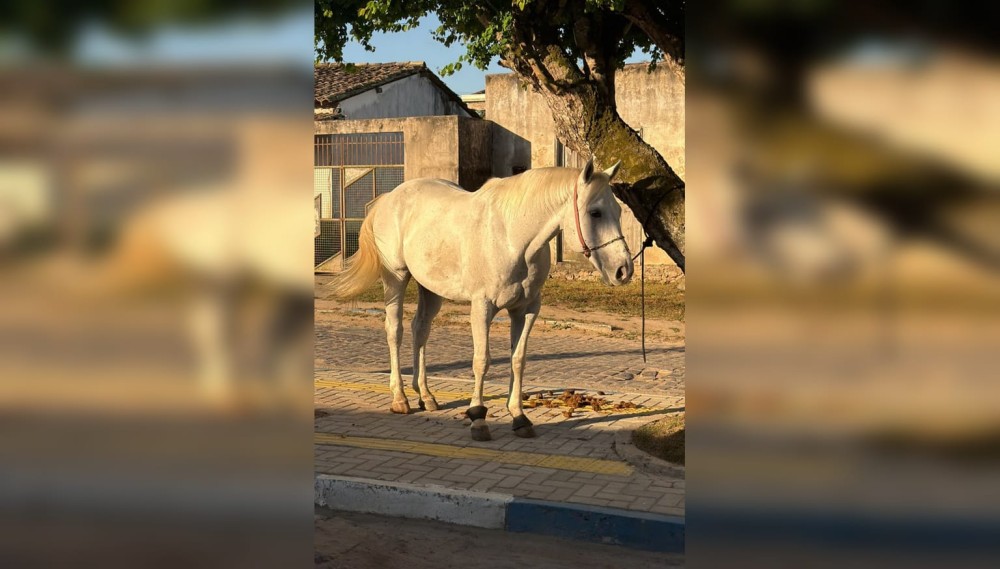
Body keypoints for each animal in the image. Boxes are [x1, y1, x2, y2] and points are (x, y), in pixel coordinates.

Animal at [330, 159, 633, 441]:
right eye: (595, 212)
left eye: (618, 211)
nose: (623, 270)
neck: (512, 237)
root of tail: (388, 199)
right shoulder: (482, 307)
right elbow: (481, 361)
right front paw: (478, 418)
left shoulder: (526, 309)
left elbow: (518, 359)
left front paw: (519, 416)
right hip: (396, 278)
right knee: (395, 331)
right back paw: (400, 398)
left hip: (431, 289)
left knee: (420, 330)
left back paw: (426, 396)